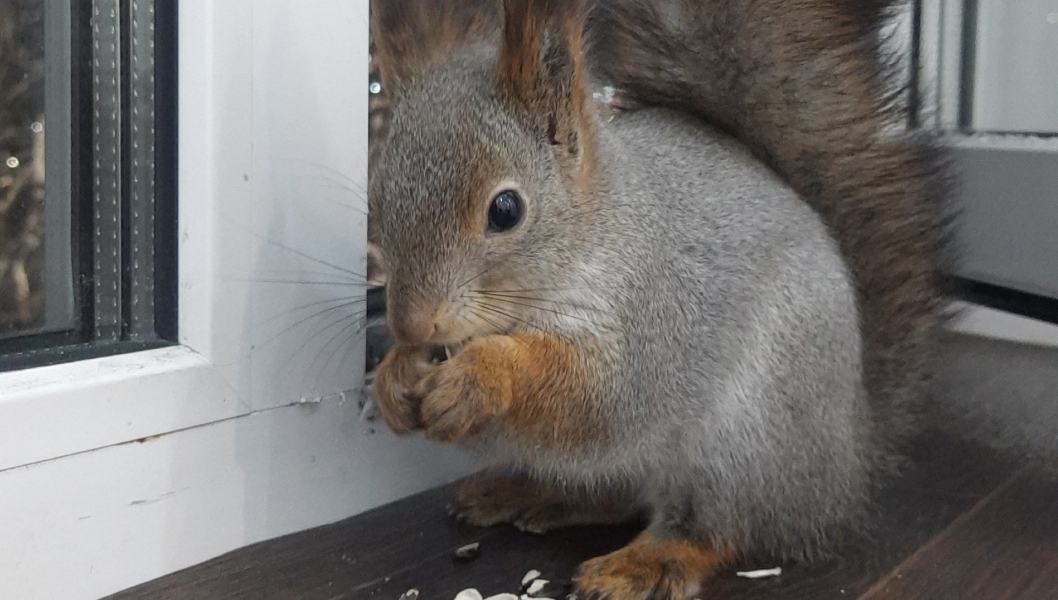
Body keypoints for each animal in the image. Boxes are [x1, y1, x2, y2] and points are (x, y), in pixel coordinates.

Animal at [366, 0, 1057, 598]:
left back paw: (644, 563)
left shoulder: (658, 313)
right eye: (376, 196)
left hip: (746, 441)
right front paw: (394, 378)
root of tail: (846, 463)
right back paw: (527, 493)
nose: (413, 324)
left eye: (506, 210)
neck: (596, 231)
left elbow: (599, 395)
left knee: (715, 528)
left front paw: (482, 376)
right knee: (615, 494)